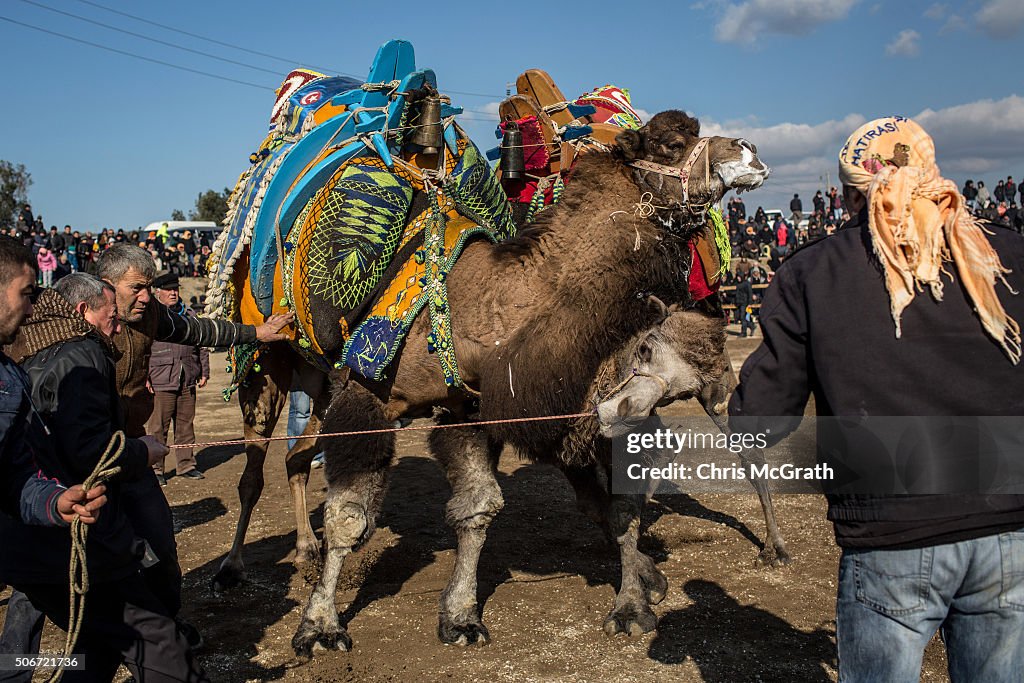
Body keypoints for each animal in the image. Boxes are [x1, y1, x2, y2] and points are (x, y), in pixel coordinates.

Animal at [276, 109, 770, 659]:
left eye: (685, 388)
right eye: (670, 142)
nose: (748, 149)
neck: (482, 305)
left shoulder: (473, 409)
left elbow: (491, 507)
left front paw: (464, 617)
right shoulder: (367, 395)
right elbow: (348, 517)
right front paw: (319, 626)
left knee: (295, 456)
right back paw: (287, 554)